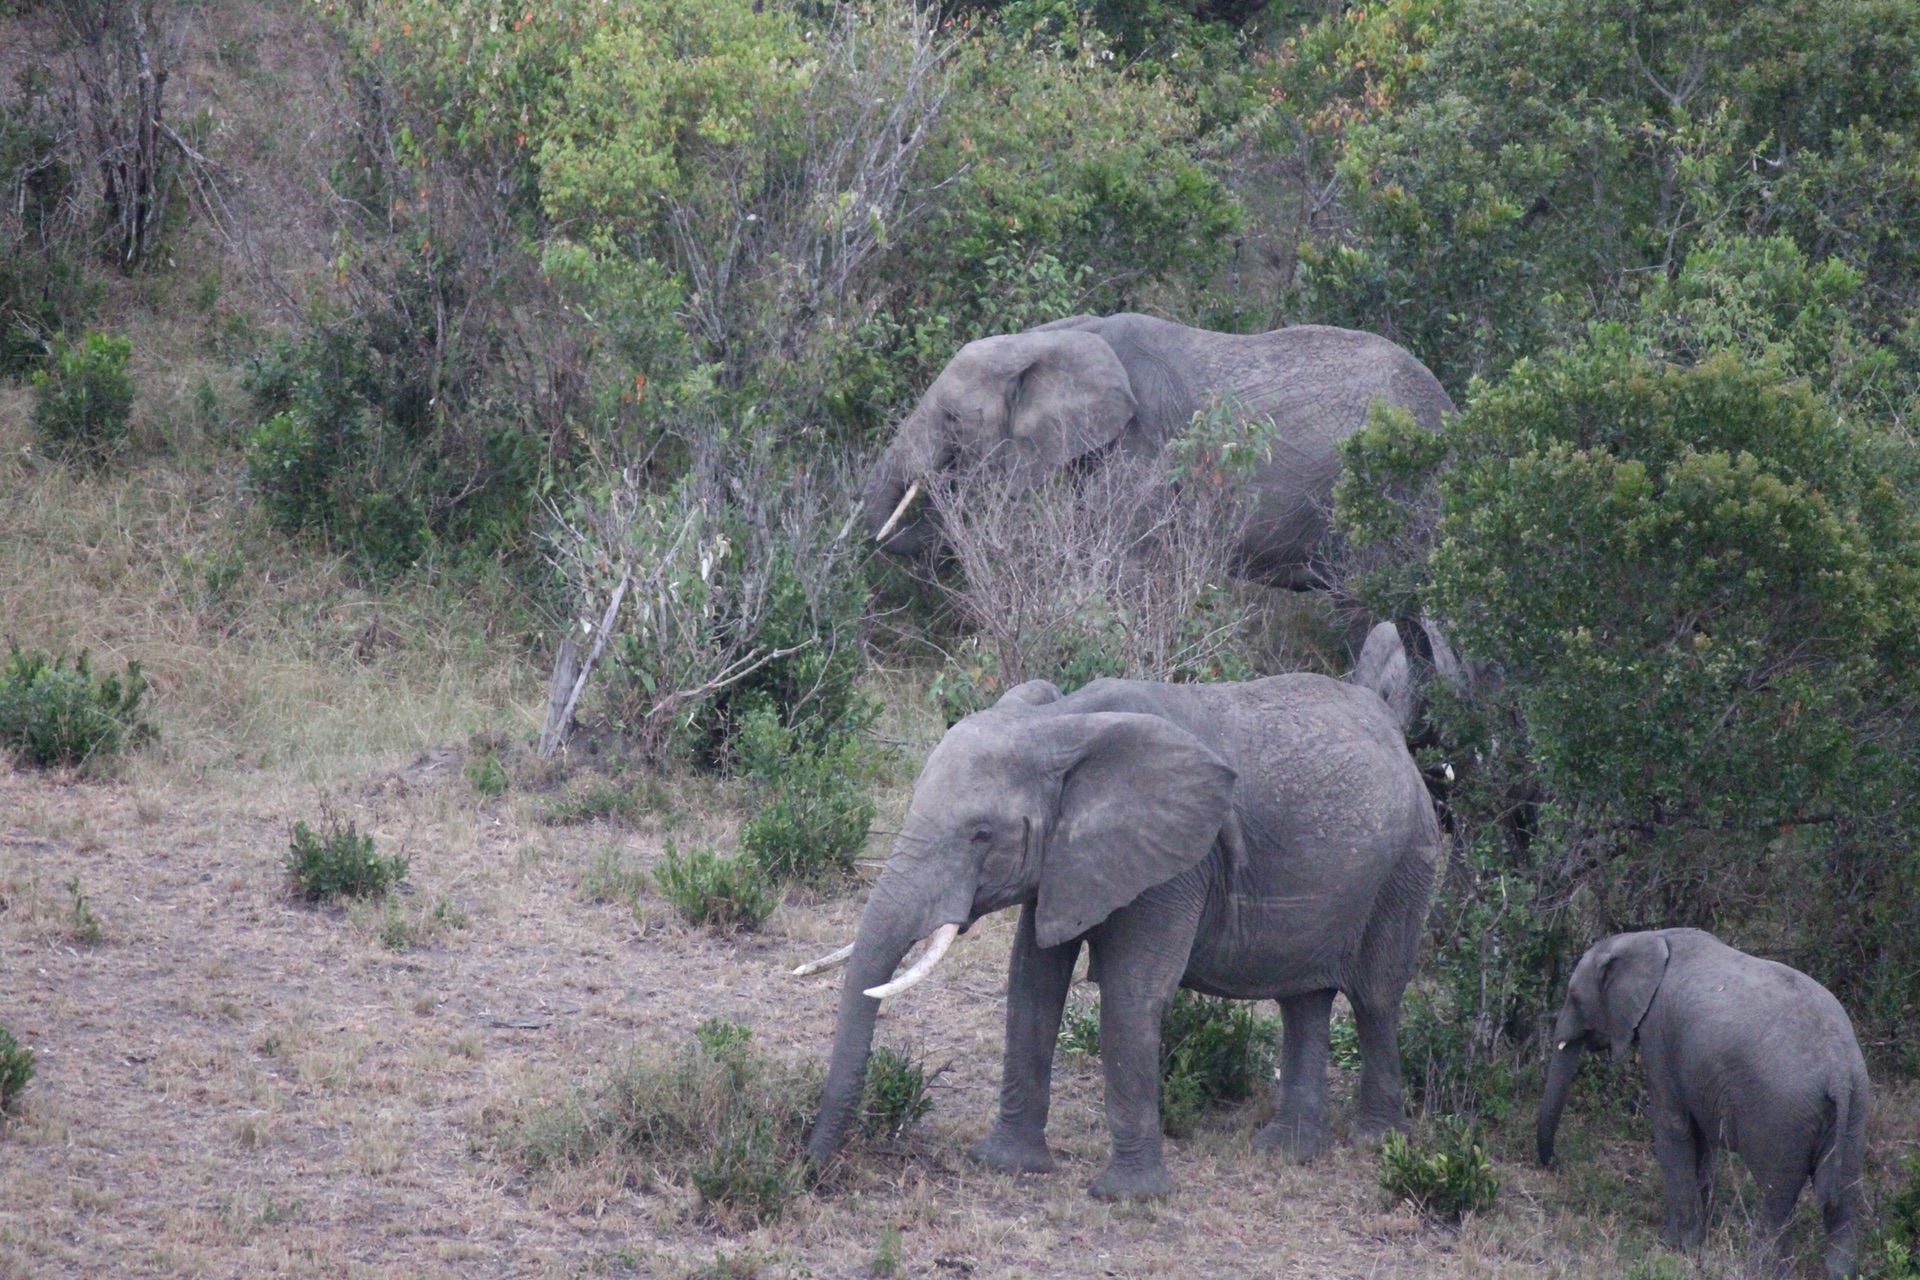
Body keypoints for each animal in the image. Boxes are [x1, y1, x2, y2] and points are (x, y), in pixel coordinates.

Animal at [794, 671, 1443, 1205]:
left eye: (981, 834)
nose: (809, 1172)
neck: (1061, 726)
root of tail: (1396, 732)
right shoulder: (1066, 863)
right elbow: (1032, 982)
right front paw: (1007, 1166)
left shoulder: (1177, 861)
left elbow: (1132, 996)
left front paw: (1127, 1197)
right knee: (1302, 1001)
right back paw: (1287, 1150)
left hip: (1409, 861)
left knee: (1376, 998)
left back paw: (1376, 1144)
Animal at [1536, 932, 1866, 1280]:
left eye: (1573, 996)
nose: (1556, 1164)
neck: (1645, 938)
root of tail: (1839, 1071)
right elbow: (1703, 1137)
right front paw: (1699, 1240)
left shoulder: (1659, 1033)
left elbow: (1672, 1126)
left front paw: (1673, 1245)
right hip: (1854, 1111)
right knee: (1840, 1201)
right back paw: (1841, 1273)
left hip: (1783, 1116)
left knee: (1778, 1196)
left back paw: (1758, 1269)